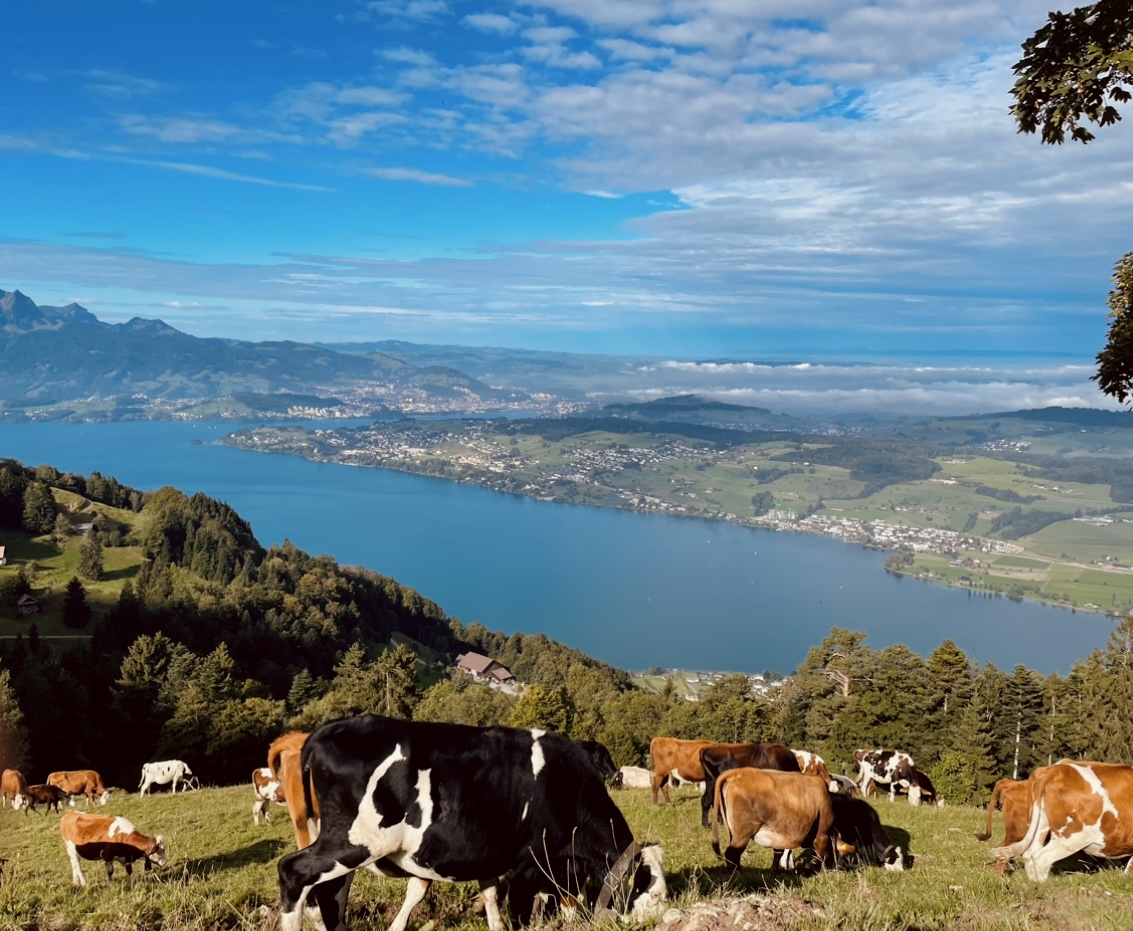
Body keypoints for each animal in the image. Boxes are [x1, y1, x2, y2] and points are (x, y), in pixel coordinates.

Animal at [277, 715, 667, 931]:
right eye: (649, 888)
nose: (644, 923)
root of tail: (328, 728)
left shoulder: (506, 859)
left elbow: (496, 898)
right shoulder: (526, 866)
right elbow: (520, 914)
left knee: (331, 896)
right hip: (354, 842)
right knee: (294, 872)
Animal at [710, 768, 840, 872]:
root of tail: (737, 773)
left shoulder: (781, 834)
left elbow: (778, 852)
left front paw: (775, 870)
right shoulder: (823, 832)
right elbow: (819, 854)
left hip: (733, 832)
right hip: (743, 833)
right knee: (731, 853)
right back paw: (736, 872)